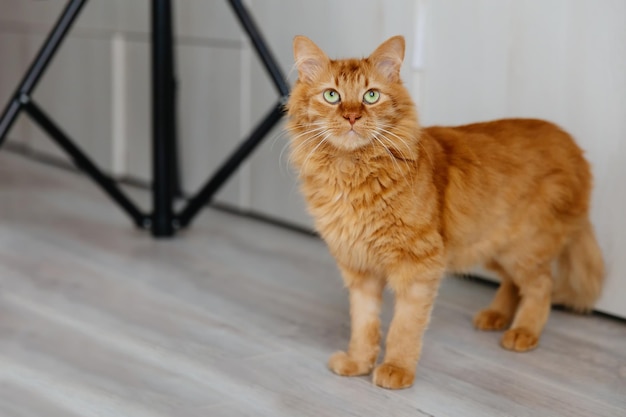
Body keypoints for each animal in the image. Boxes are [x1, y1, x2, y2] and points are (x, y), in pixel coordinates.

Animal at [286, 35, 604, 390]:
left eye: (371, 95)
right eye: (332, 95)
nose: (352, 117)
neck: (352, 173)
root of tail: (572, 145)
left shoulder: (418, 264)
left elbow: (404, 327)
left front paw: (396, 369)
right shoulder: (360, 269)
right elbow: (364, 325)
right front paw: (358, 362)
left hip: (524, 248)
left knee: (541, 286)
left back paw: (523, 331)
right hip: (492, 247)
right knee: (514, 283)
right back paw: (496, 316)